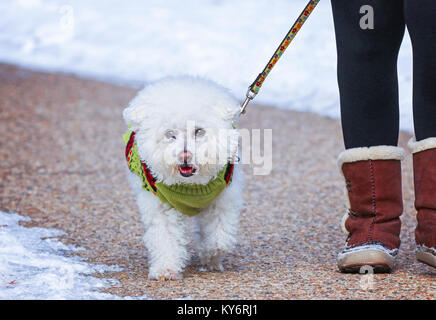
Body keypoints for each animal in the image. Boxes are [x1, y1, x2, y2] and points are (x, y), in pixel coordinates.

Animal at [122, 77, 244, 280]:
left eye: (199, 131)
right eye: (170, 134)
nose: (184, 156)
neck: (191, 185)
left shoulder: (223, 199)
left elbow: (219, 236)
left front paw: (210, 254)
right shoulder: (160, 205)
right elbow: (166, 237)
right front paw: (165, 269)